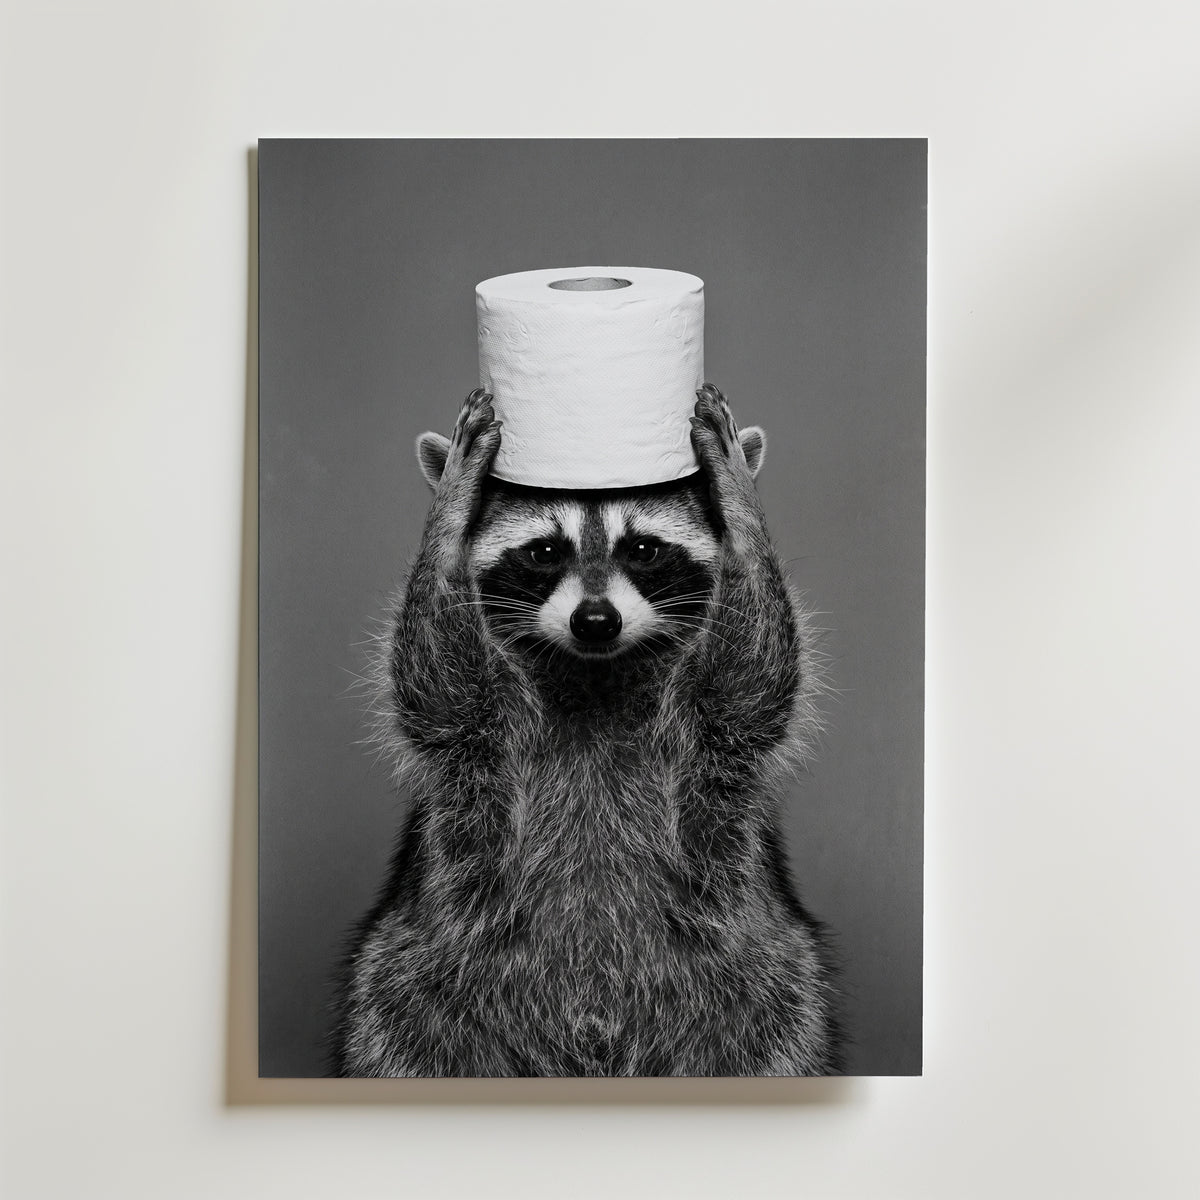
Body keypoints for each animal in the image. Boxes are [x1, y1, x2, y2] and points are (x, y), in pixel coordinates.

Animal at [330, 384, 841, 1077]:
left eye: (643, 549)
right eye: (546, 552)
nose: (595, 620)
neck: (596, 676)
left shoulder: (710, 745)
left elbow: (752, 680)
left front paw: (738, 503)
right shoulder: (476, 746)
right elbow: (437, 683)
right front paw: (450, 511)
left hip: (762, 984)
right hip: (411, 987)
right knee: (399, 1020)